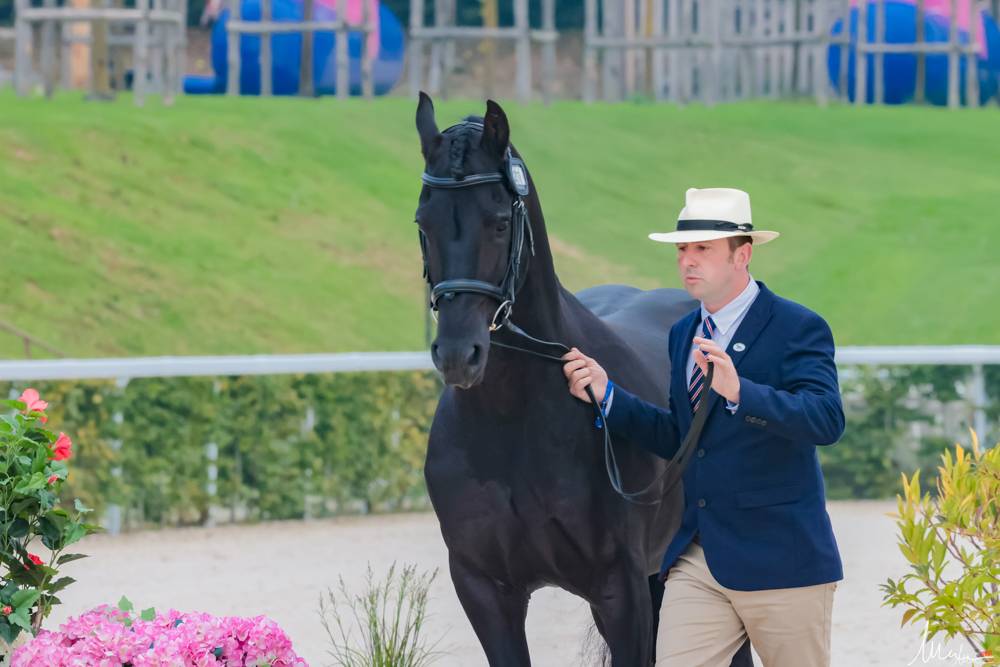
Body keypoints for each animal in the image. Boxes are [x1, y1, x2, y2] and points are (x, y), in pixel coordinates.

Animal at [414, 93, 753, 666]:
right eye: (424, 221)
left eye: (499, 221)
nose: (459, 353)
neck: (513, 424)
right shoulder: (485, 588)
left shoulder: (619, 589)